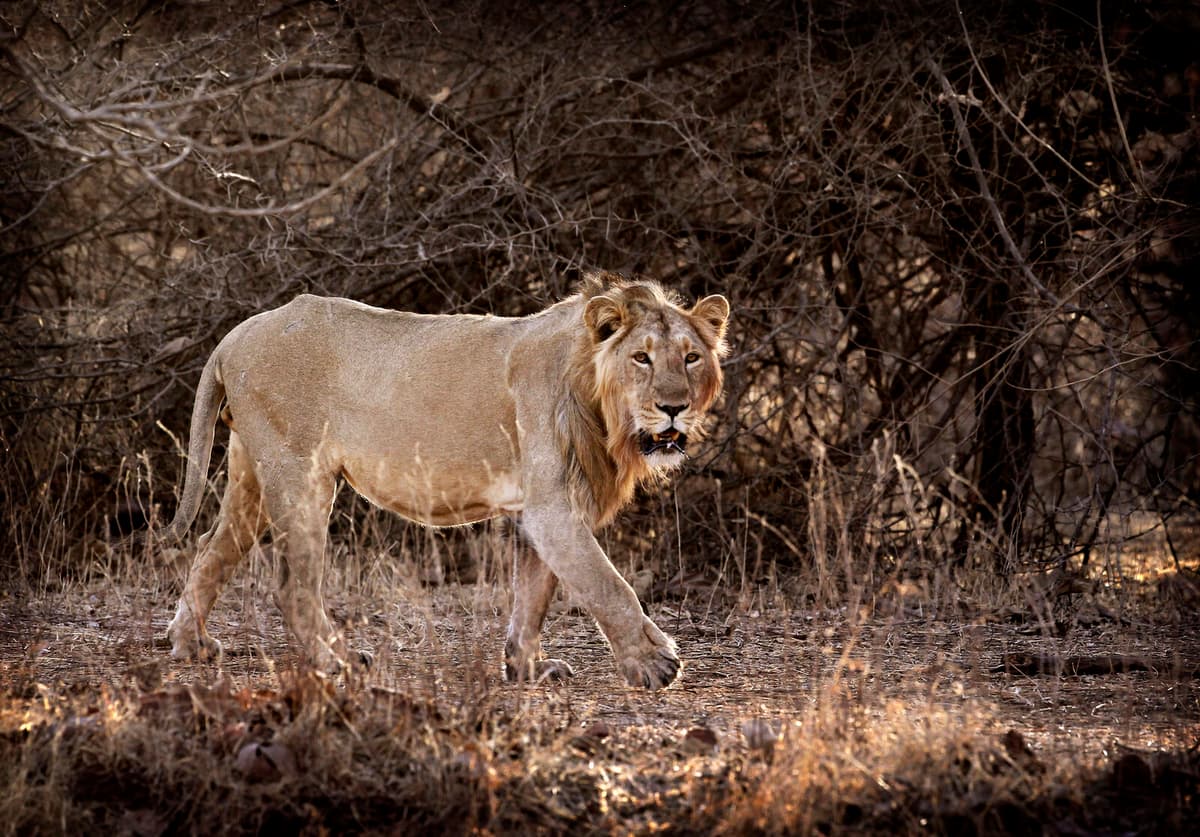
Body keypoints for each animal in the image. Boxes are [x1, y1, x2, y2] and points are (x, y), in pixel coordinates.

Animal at [164, 270, 729, 689]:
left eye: (691, 357)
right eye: (642, 358)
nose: (674, 407)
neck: (597, 397)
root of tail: (235, 335)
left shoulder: (535, 509)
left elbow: (534, 593)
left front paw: (526, 667)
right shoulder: (553, 508)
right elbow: (609, 586)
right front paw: (654, 664)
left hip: (251, 476)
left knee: (210, 548)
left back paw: (191, 644)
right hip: (299, 473)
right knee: (290, 584)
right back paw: (335, 660)